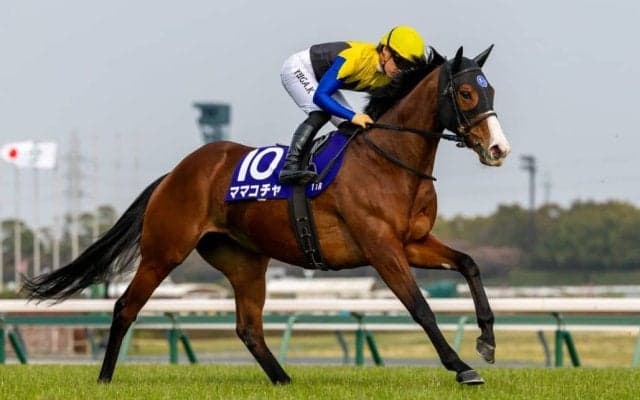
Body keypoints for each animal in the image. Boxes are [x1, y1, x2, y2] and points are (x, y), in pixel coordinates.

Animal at [24, 45, 510, 385]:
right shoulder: (382, 248)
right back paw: (105, 377)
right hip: (164, 251)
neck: (389, 159)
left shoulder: (413, 242)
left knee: (249, 327)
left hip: (244, 260)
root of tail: (175, 173)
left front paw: (487, 340)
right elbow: (421, 308)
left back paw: (283, 378)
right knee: (126, 306)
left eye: (491, 91)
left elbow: (469, 263)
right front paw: (462, 366)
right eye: (466, 92)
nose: (498, 149)